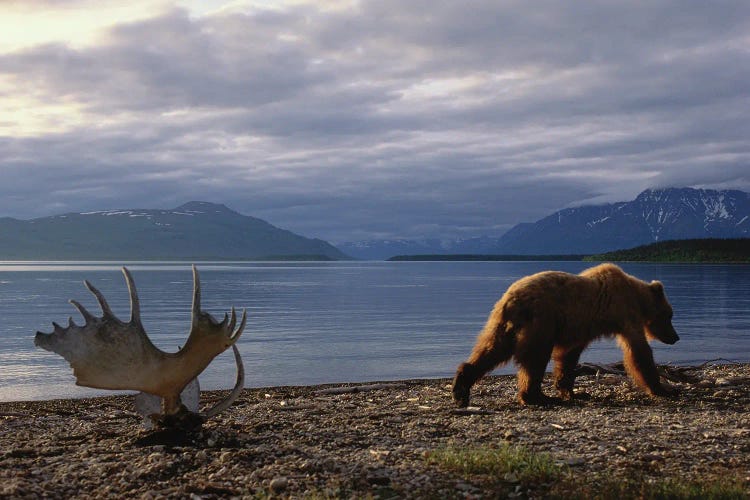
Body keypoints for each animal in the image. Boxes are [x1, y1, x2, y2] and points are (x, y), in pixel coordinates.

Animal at [452, 262, 680, 406]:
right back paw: (536, 397)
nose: (675, 337)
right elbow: (639, 352)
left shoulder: (581, 326)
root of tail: (511, 299)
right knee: (535, 358)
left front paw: (573, 391)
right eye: (670, 315)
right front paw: (663, 388)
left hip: (505, 325)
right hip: (541, 322)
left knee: (491, 350)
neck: (637, 298)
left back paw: (461, 389)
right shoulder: (625, 315)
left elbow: (568, 355)